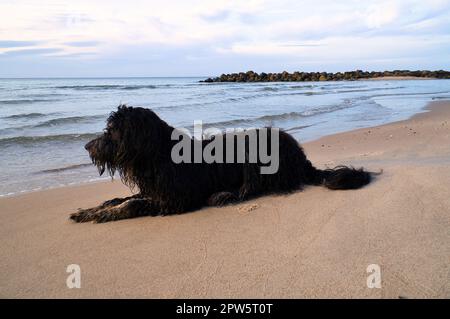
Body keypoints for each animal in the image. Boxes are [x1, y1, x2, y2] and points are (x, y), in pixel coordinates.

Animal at [69, 104, 372, 222]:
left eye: (111, 131)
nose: (86, 146)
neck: (158, 153)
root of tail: (300, 154)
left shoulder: (175, 200)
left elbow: (131, 205)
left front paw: (96, 215)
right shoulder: (153, 191)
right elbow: (120, 199)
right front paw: (92, 209)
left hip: (256, 152)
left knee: (253, 188)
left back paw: (224, 195)